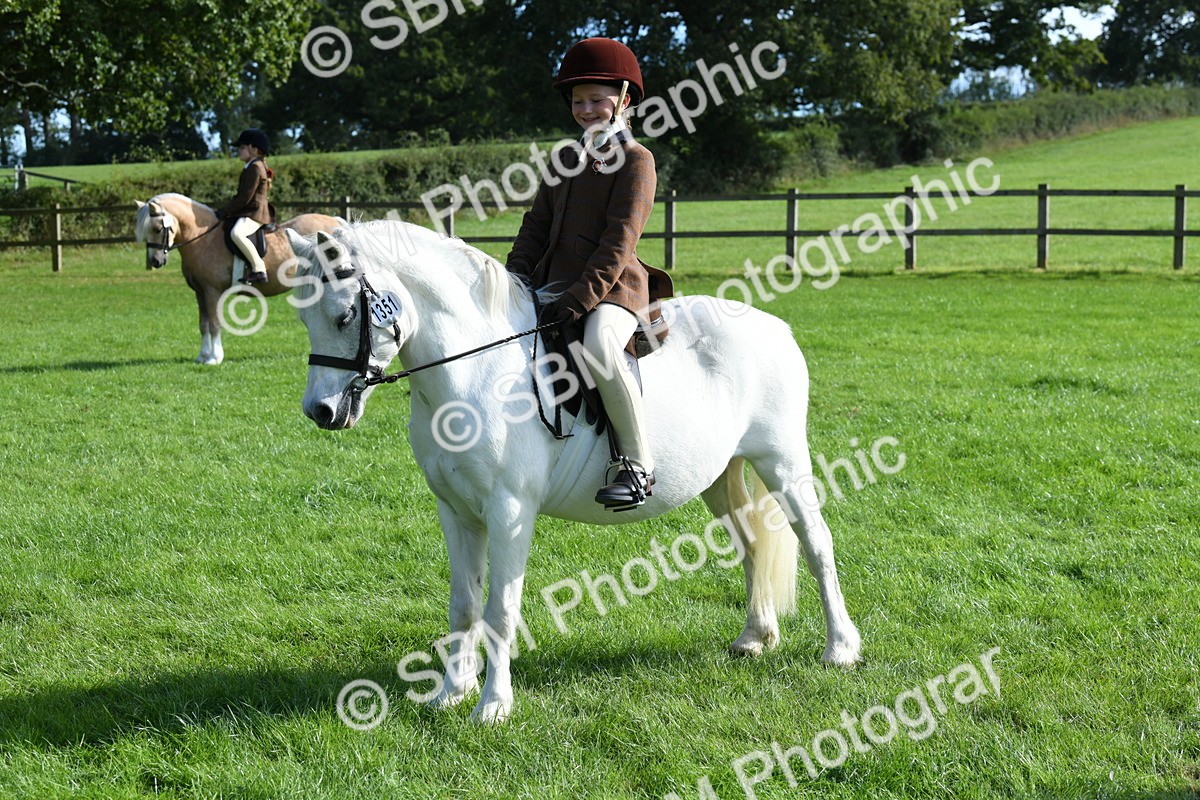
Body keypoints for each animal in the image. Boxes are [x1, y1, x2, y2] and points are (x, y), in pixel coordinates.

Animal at [134, 193, 343, 365]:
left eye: (158, 228)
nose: (155, 261)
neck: (202, 238)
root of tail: (335, 221)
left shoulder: (212, 292)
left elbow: (214, 324)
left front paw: (214, 358)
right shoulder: (200, 293)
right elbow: (203, 324)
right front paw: (202, 356)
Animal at [285, 221, 862, 724]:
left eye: (344, 316)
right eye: (305, 320)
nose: (321, 412)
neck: (476, 374)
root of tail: (774, 326)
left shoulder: (509, 511)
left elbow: (500, 611)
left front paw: (492, 706)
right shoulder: (456, 511)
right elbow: (464, 606)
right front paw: (451, 694)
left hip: (782, 462)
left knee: (817, 543)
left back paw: (840, 648)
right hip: (722, 476)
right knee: (752, 544)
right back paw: (755, 638)